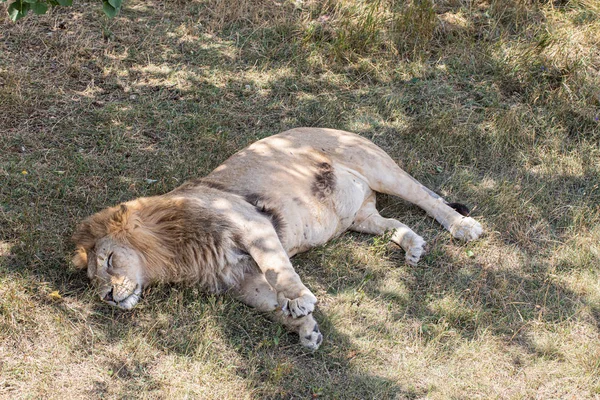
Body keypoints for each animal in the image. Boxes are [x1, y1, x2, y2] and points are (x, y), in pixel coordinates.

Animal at [71, 127, 482, 350]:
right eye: (94, 282)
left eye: (110, 261)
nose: (108, 297)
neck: (175, 255)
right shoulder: (241, 283)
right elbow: (270, 305)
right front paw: (305, 329)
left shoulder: (253, 224)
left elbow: (277, 269)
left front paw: (300, 301)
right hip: (360, 218)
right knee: (392, 221)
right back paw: (413, 246)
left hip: (380, 168)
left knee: (427, 197)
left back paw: (463, 227)